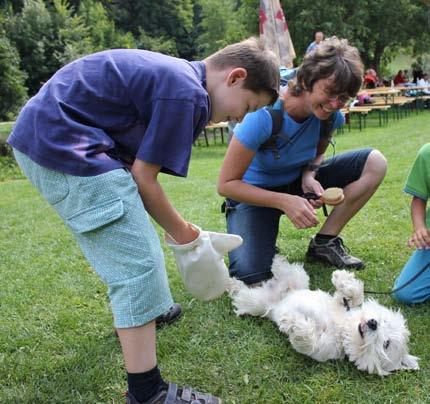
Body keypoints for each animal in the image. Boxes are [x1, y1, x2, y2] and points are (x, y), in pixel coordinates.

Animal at [228, 256, 420, 376]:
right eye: (384, 320)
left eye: (387, 344)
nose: (373, 323)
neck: (343, 329)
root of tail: (276, 297)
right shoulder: (342, 306)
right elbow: (354, 296)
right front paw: (342, 279)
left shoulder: (322, 349)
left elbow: (308, 341)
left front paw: (294, 323)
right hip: (298, 279)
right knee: (289, 271)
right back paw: (278, 261)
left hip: (255, 303)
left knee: (242, 293)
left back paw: (232, 283)